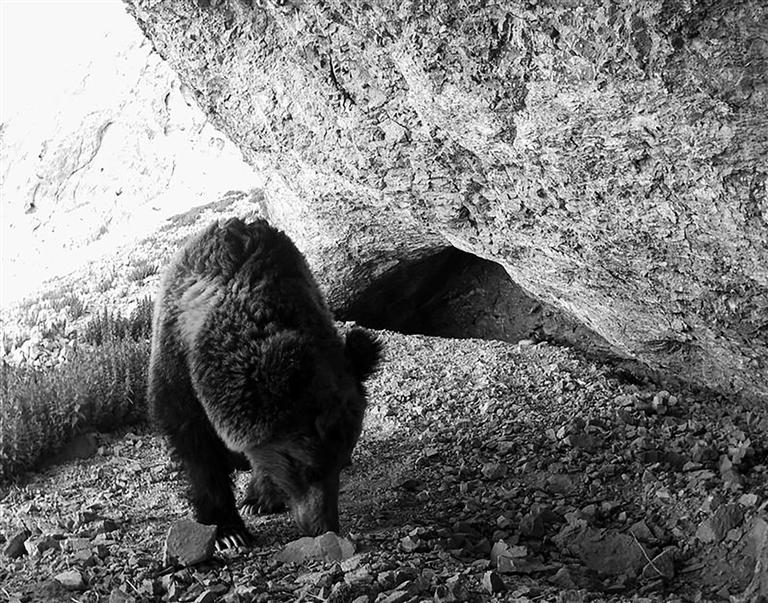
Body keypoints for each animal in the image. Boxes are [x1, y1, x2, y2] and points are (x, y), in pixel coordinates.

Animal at [147, 217, 382, 549]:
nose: (324, 526)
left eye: (340, 460)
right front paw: (227, 532)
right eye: (305, 466)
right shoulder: (176, 368)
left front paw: (259, 498)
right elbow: (195, 447)